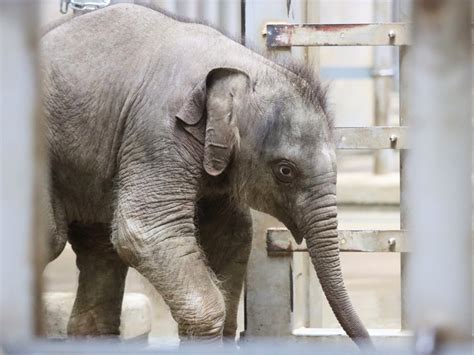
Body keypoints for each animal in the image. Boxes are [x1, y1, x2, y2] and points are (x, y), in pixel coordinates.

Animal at [39, 1, 370, 350]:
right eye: (285, 170)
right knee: (52, 237)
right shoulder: (158, 132)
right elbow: (144, 232)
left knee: (99, 250)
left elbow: (232, 233)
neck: (238, 66)